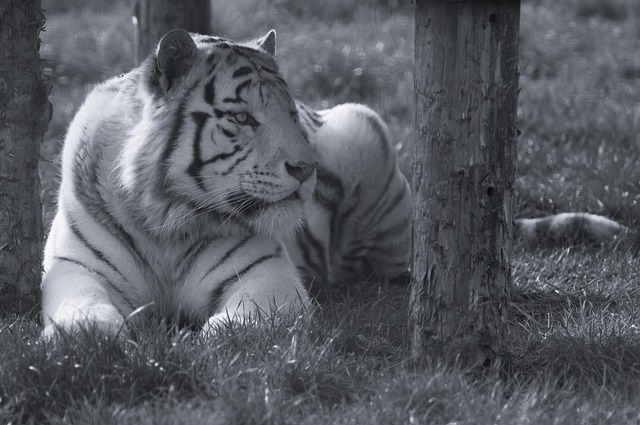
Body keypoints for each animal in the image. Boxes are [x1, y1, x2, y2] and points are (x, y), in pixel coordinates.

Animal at [41, 29, 412, 337]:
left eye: (291, 115)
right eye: (242, 117)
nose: (307, 169)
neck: (163, 224)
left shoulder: (268, 274)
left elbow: (235, 327)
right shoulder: (76, 268)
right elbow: (83, 313)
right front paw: (88, 340)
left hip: (362, 126)